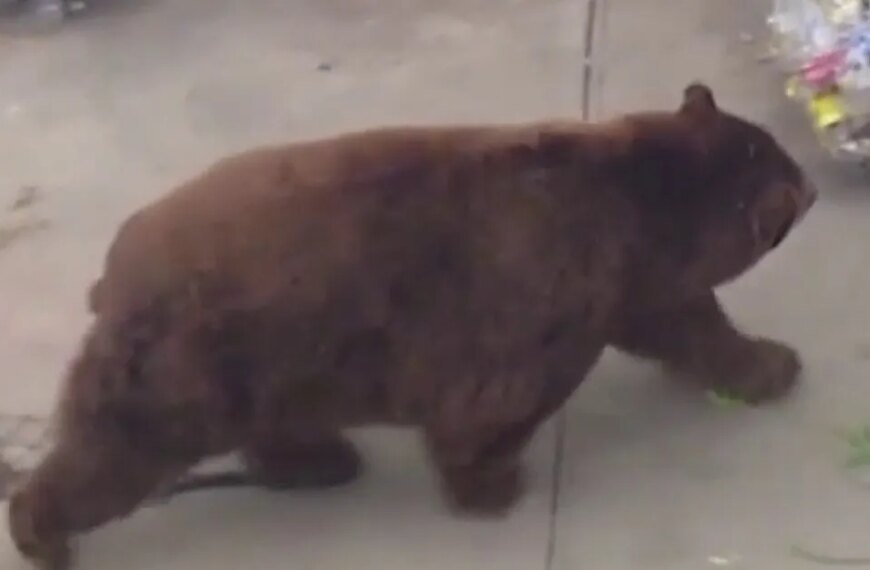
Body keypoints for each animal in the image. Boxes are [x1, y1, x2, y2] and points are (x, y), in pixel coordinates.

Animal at [8, 82, 816, 569]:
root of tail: (112, 272)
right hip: (191, 361)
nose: (808, 187)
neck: (643, 207)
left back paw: (319, 461)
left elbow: (691, 324)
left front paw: (770, 364)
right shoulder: (548, 296)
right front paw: (492, 485)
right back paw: (42, 534)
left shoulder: (632, 285)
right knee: (112, 454)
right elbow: (494, 405)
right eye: (793, 178)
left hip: (275, 364)